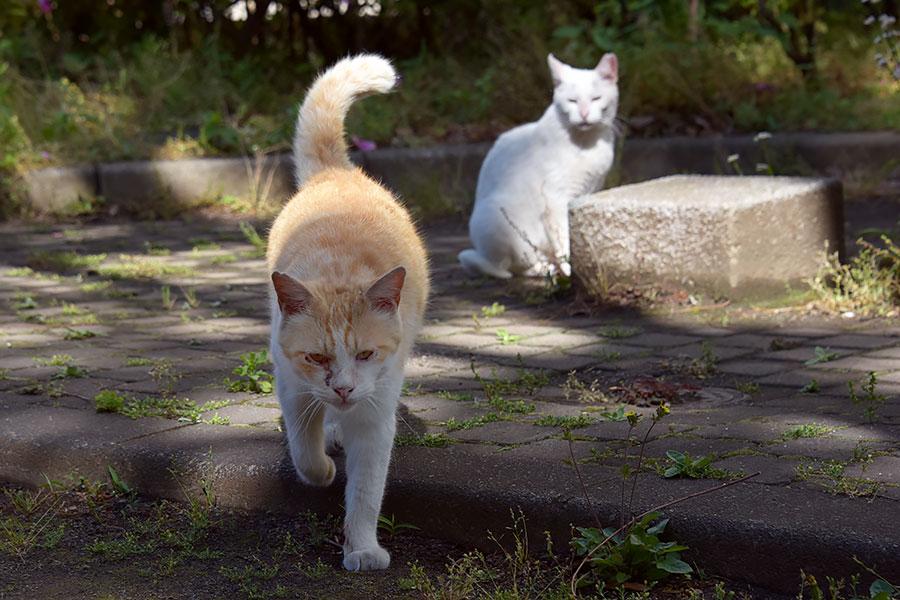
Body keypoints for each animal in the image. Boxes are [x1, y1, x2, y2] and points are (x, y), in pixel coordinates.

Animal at [268, 54, 428, 568]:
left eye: (365, 355)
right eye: (317, 357)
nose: (342, 388)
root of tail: (336, 173)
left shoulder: (376, 420)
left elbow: (365, 493)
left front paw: (362, 548)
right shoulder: (294, 387)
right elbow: (304, 448)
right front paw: (321, 471)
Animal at [460, 52, 616, 278]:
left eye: (596, 98)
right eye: (572, 101)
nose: (584, 114)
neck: (587, 143)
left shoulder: (590, 189)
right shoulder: (556, 197)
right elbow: (565, 234)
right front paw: (570, 267)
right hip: (496, 220)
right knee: (513, 266)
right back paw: (547, 269)